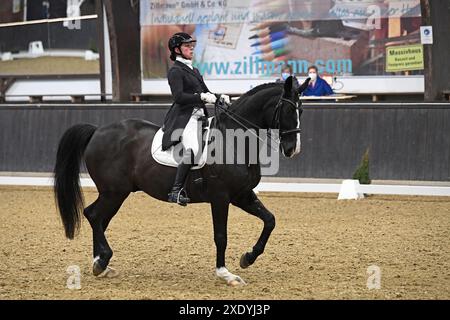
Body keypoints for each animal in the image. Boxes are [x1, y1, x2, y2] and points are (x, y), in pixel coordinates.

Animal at [54, 77, 304, 284]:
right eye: (288, 110)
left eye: (301, 110)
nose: (293, 150)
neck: (233, 141)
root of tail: (97, 130)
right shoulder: (220, 197)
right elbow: (221, 236)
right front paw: (225, 274)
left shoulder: (242, 195)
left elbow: (270, 220)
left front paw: (248, 258)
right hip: (113, 192)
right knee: (93, 215)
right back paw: (102, 260)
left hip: (116, 193)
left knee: (99, 219)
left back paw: (100, 264)